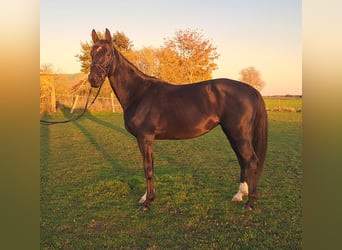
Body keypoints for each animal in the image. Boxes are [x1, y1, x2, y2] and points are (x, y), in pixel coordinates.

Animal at [87, 28, 268, 210]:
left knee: (251, 160)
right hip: (232, 133)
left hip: (238, 134)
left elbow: (148, 168)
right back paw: (239, 194)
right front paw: (147, 197)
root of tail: (251, 90)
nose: (93, 79)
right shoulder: (146, 139)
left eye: (108, 54)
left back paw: (250, 203)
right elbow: (150, 166)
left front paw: (147, 202)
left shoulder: (145, 137)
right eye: (92, 53)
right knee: (243, 160)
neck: (139, 92)